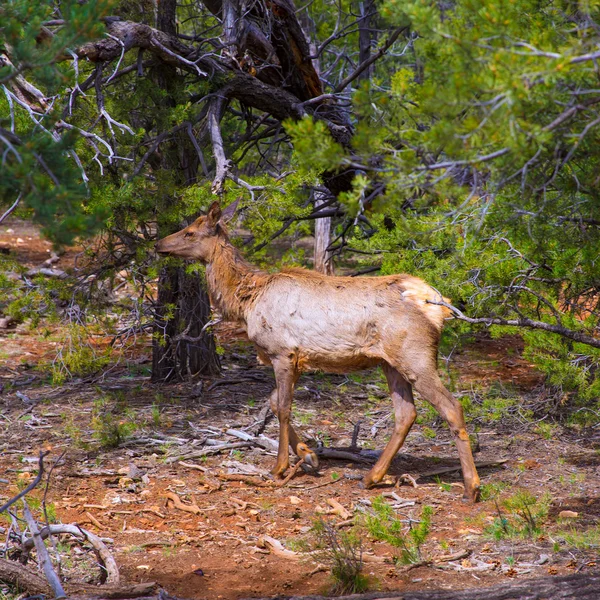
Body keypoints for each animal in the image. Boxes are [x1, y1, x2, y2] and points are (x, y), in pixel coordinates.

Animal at [156, 202, 482, 502]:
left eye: (190, 232)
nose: (160, 244)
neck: (246, 302)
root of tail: (439, 306)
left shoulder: (282, 352)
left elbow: (283, 407)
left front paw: (280, 467)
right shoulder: (297, 359)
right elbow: (273, 402)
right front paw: (308, 454)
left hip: (414, 355)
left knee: (451, 407)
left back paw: (471, 487)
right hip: (389, 362)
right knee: (406, 413)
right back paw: (371, 477)